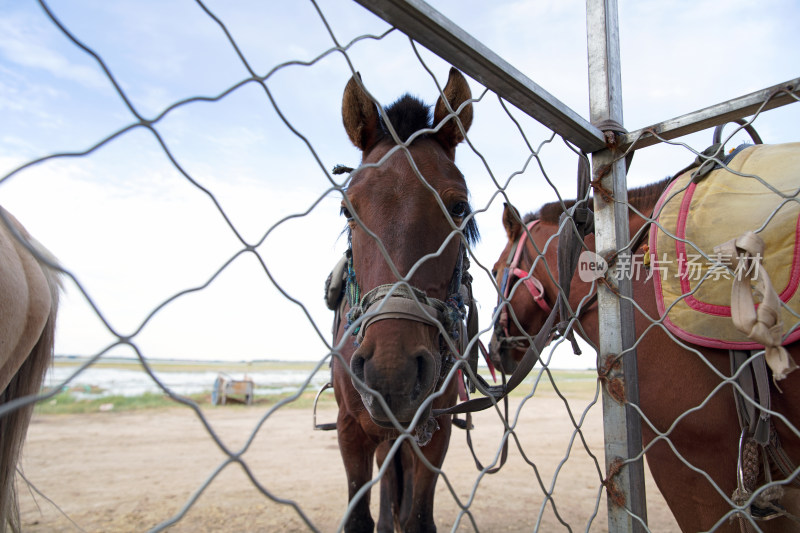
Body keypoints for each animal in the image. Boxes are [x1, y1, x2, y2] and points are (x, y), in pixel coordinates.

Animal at [330, 67, 478, 532]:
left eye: (459, 207)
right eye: (348, 211)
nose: (391, 372)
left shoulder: (434, 432)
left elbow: (417, 517)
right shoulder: (351, 430)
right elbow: (359, 518)